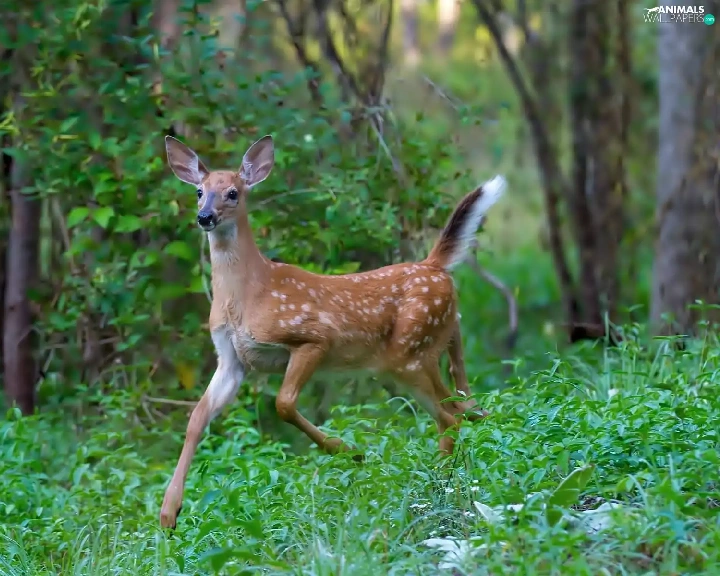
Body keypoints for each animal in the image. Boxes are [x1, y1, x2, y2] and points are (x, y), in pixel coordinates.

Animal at [159, 134, 507, 529]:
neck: (248, 296)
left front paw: (348, 451)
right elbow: (196, 418)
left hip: (410, 352)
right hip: (432, 345)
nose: (205, 217)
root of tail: (435, 266)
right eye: (199, 191)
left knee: (450, 418)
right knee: (468, 409)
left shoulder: (313, 338)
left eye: (233, 192)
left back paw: (437, 491)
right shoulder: (231, 359)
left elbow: (283, 403)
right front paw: (169, 512)